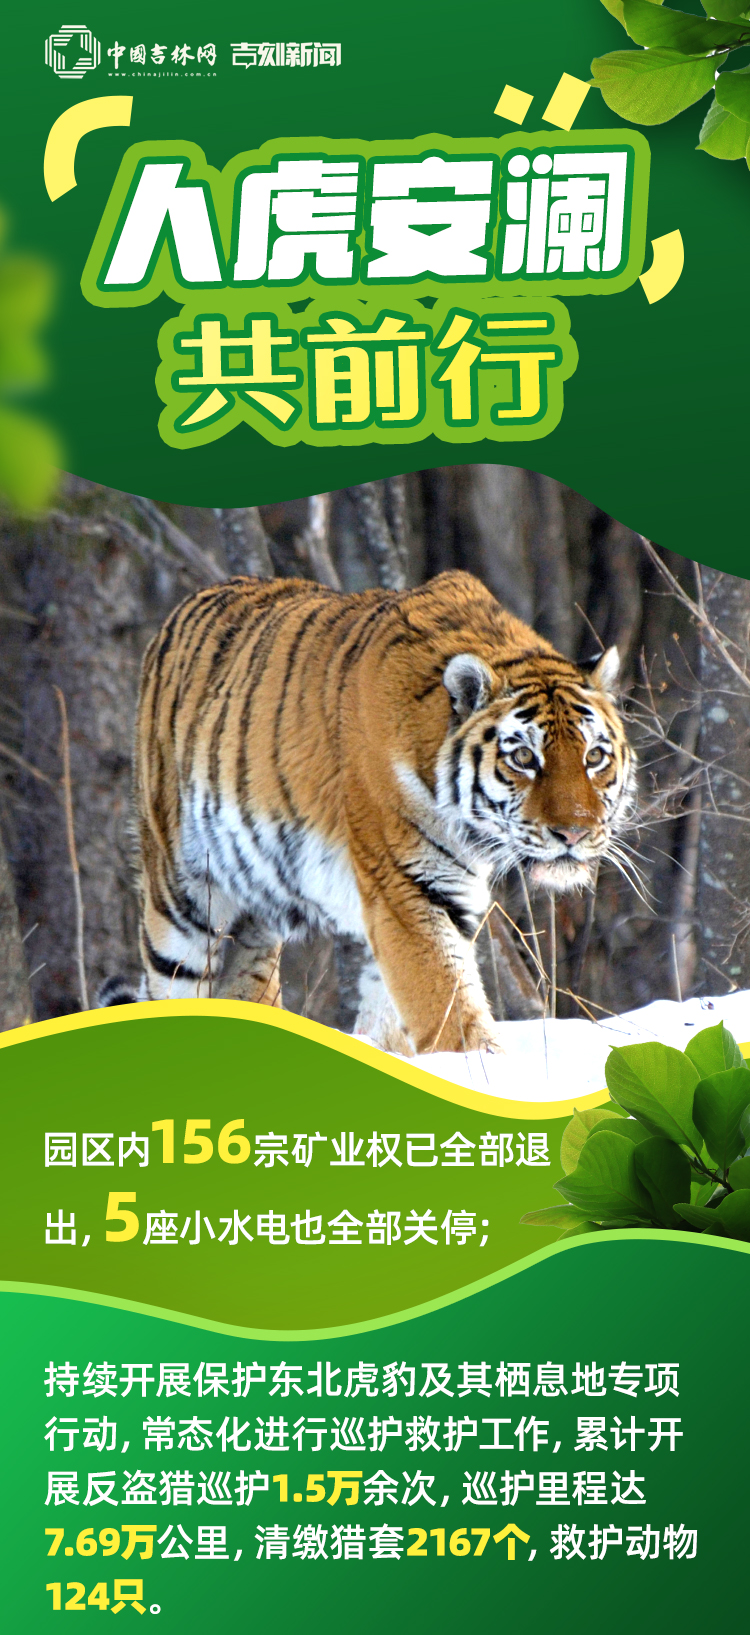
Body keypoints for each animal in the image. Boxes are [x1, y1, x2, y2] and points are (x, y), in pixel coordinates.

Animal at [99, 569, 634, 1054]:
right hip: (182, 903)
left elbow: (395, 1017)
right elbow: (448, 1006)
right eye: (523, 757)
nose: (574, 833)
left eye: (594, 757)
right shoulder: (407, 886)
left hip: (252, 921)